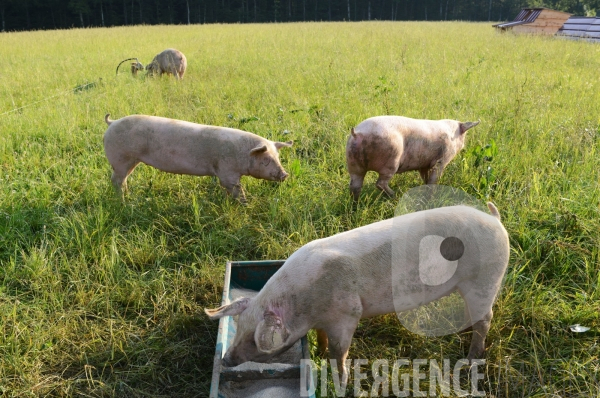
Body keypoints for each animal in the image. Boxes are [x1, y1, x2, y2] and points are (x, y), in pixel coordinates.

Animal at [102, 114, 292, 202]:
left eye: (278, 158)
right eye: (266, 160)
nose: (285, 174)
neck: (243, 153)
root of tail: (113, 122)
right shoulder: (227, 170)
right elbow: (234, 187)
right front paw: (245, 203)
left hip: (129, 161)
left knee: (123, 179)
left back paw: (128, 196)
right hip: (121, 158)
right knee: (116, 180)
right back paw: (123, 201)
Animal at [205, 202, 506, 386]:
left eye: (254, 339)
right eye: (239, 326)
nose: (226, 359)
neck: (306, 305)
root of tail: (495, 220)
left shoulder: (347, 314)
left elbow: (340, 351)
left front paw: (342, 381)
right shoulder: (323, 321)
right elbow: (322, 338)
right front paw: (319, 351)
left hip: (486, 279)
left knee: (486, 319)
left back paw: (471, 359)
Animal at [344, 116, 480, 201]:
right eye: (464, 136)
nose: (464, 145)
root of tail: (357, 134)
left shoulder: (423, 164)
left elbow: (425, 177)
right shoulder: (442, 159)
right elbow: (434, 178)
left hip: (353, 164)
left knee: (354, 186)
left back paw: (355, 205)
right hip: (391, 160)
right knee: (380, 183)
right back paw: (396, 196)